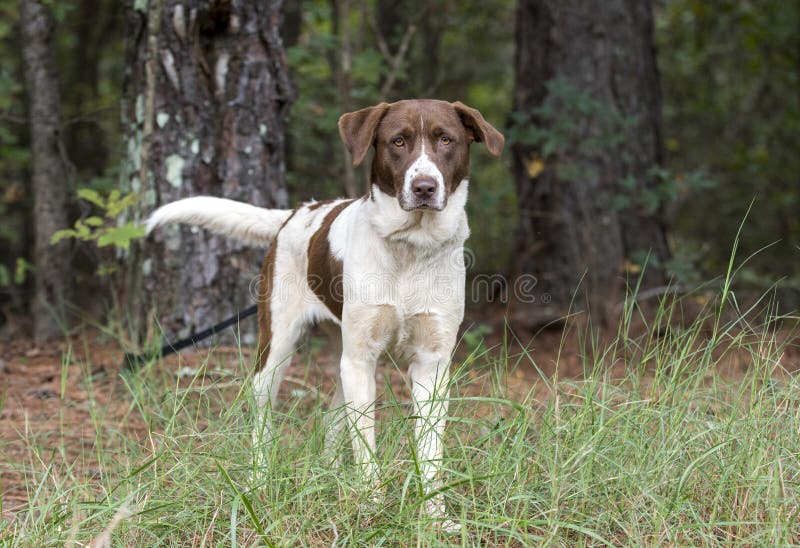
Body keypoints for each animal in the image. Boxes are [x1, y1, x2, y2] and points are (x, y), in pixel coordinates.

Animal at [147, 98, 504, 528]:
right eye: (398, 141)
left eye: (446, 140)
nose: (424, 187)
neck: (410, 248)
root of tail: (295, 212)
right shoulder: (361, 359)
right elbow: (365, 447)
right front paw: (370, 508)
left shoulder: (431, 364)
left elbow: (430, 450)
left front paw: (434, 517)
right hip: (279, 347)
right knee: (263, 416)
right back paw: (258, 482)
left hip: (341, 361)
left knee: (332, 419)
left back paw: (329, 478)